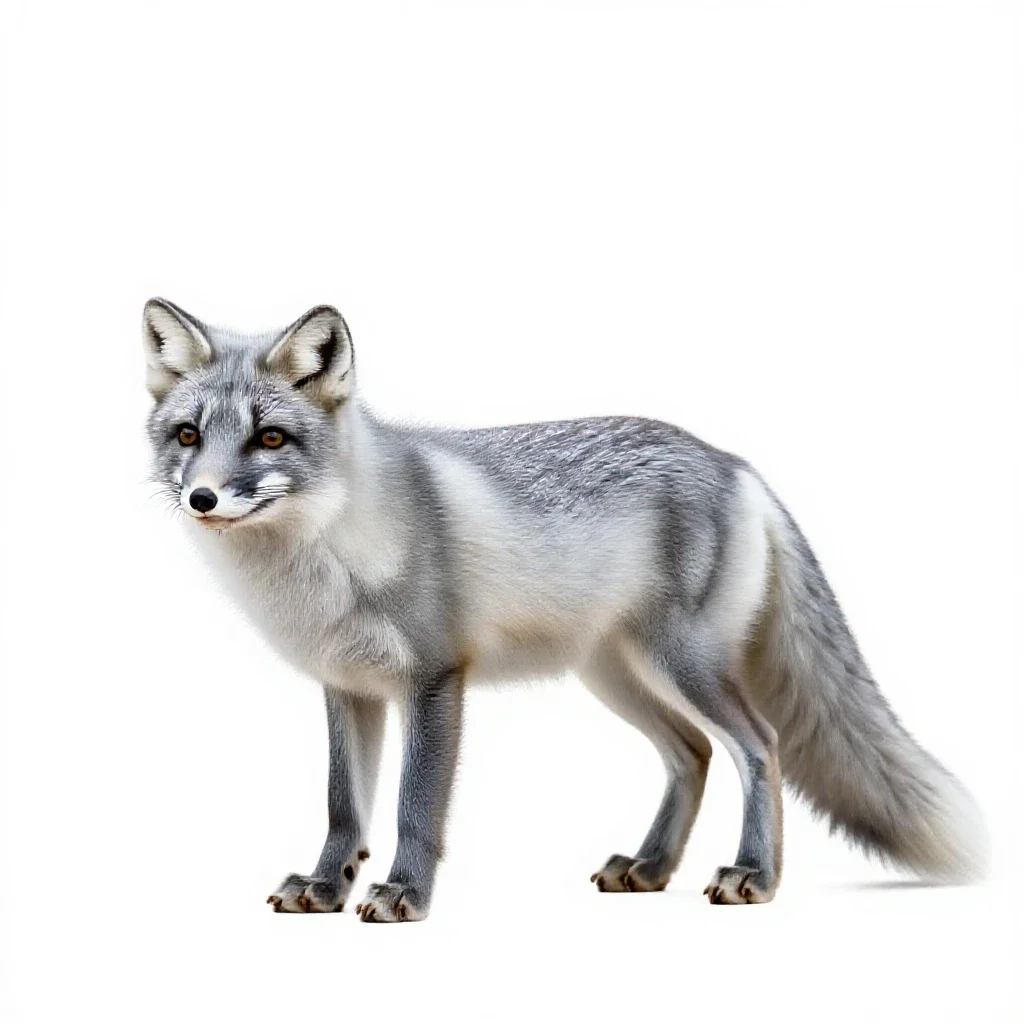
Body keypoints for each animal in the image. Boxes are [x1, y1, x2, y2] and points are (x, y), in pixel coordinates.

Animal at [143, 296, 988, 922]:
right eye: (187, 435)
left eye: (269, 438)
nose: (203, 498)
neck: (325, 557)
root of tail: (732, 462)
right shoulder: (347, 687)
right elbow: (343, 810)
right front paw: (326, 888)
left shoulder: (434, 680)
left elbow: (415, 808)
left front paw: (406, 894)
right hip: (617, 676)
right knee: (693, 753)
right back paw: (649, 867)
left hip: (681, 665)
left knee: (760, 746)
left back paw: (754, 873)